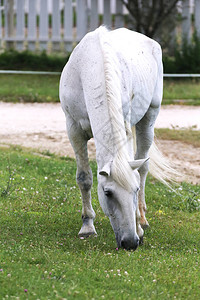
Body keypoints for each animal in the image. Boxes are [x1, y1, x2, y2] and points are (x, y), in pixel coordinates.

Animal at [59, 26, 173, 251]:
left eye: (134, 190)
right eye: (108, 193)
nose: (130, 242)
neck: (92, 67)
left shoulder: (126, 128)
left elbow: (135, 173)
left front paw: (139, 226)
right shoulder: (73, 130)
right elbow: (84, 178)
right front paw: (87, 226)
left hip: (149, 118)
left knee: (143, 167)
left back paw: (143, 219)